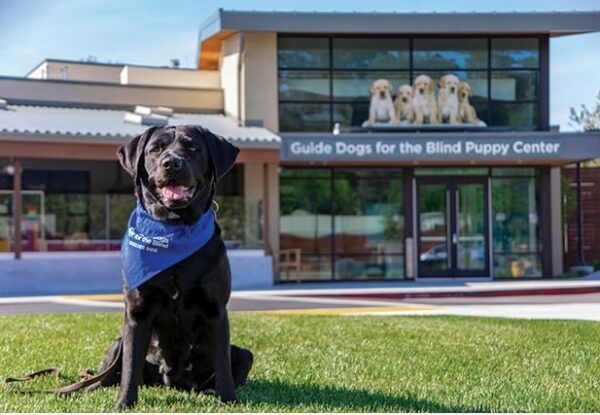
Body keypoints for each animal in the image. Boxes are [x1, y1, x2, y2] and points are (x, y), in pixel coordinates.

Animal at [104, 124, 252, 410]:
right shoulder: (136, 312)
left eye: (193, 147)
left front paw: (228, 400)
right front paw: (124, 403)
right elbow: (130, 367)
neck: (173, 227)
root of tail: (173, 382)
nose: (171, 163)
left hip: (244, 354)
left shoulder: (216, 311)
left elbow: (223, 365)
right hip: (117, 345)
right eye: (155, 149)